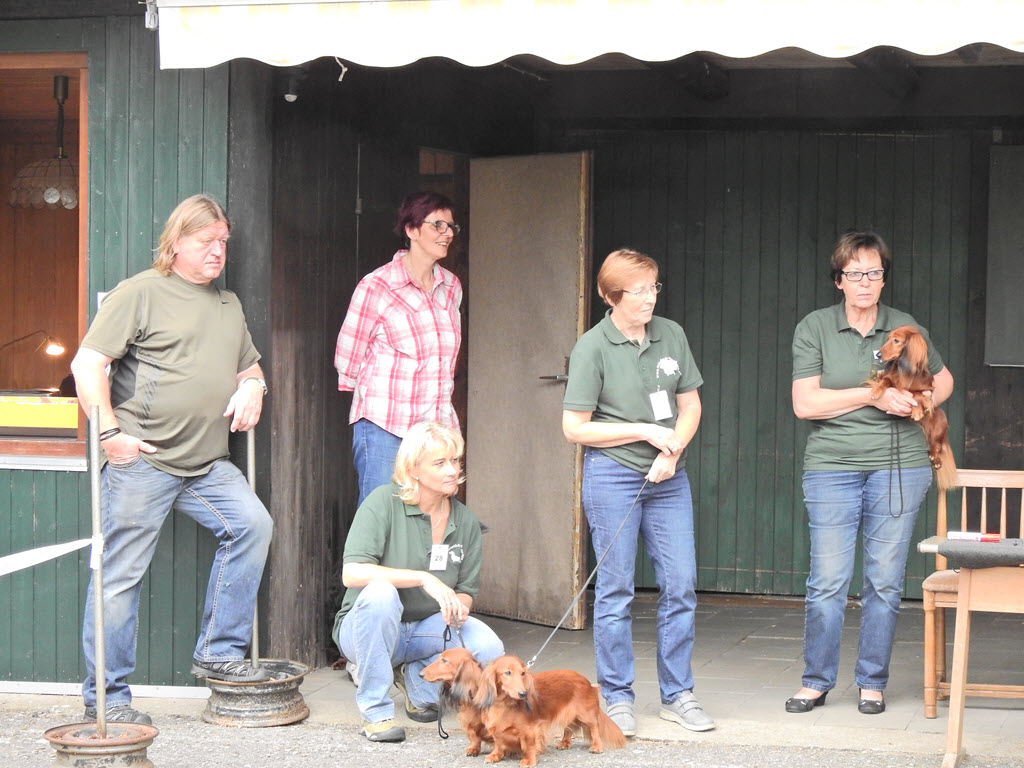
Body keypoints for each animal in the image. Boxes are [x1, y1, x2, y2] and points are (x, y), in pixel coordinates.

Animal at [475, 655, 626, 766]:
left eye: (522, 673)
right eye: (507, 672)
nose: (523, 694)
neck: (504, 703)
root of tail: (588, 682)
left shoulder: (530, 729)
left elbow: (529, 745)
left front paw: (529, 760)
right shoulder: (496, 729)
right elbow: (498, 742)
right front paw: (496, 755)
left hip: (585, 714)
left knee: (594, 727)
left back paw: (597, 746)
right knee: (569, 728)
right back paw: (565, 743)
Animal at [869, 325, 957, 491]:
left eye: (896, 340)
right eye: (888, 338)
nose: (878, 354)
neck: (906, 371)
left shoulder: (927, 390)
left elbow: (917, 395)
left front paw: (916, 411)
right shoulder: (891, 379)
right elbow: (885, 380)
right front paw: (876, 390)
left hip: (940, 423)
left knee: (937, 446)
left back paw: (935, 458)